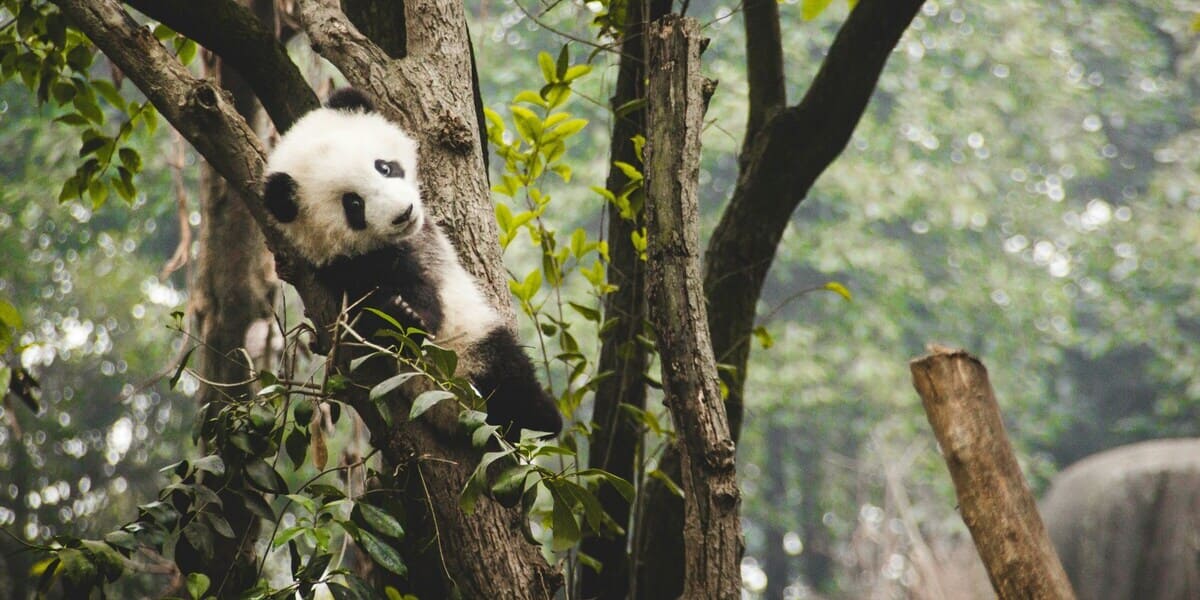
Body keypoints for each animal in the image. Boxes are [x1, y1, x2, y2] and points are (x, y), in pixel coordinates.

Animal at [262, 87, 561, 436]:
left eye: (384, 167)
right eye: (353, 204)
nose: (403, 213)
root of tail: (454, 410)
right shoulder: (345, 268)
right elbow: (389, 313)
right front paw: (402, 313)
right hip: (469, 350)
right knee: (509, 371)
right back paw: (543, 416)